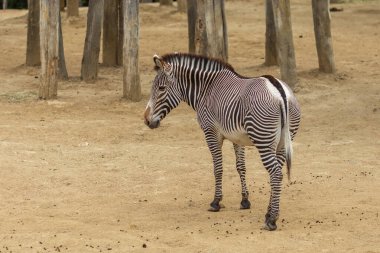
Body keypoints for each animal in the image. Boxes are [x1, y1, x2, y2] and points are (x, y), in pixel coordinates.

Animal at [144, 52, 302, 230]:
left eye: (161, 88)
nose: (146, 120)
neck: (206, 89)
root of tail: (279, 91)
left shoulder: (211, 133)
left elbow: (218, 168)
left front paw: (216, 202)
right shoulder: (237, 138)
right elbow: (241, 167)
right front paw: (245, 200)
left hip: (263, 140)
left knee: (275, 173)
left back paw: (271, 220)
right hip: (283, 141)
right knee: (277, 172)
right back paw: (269, 212)